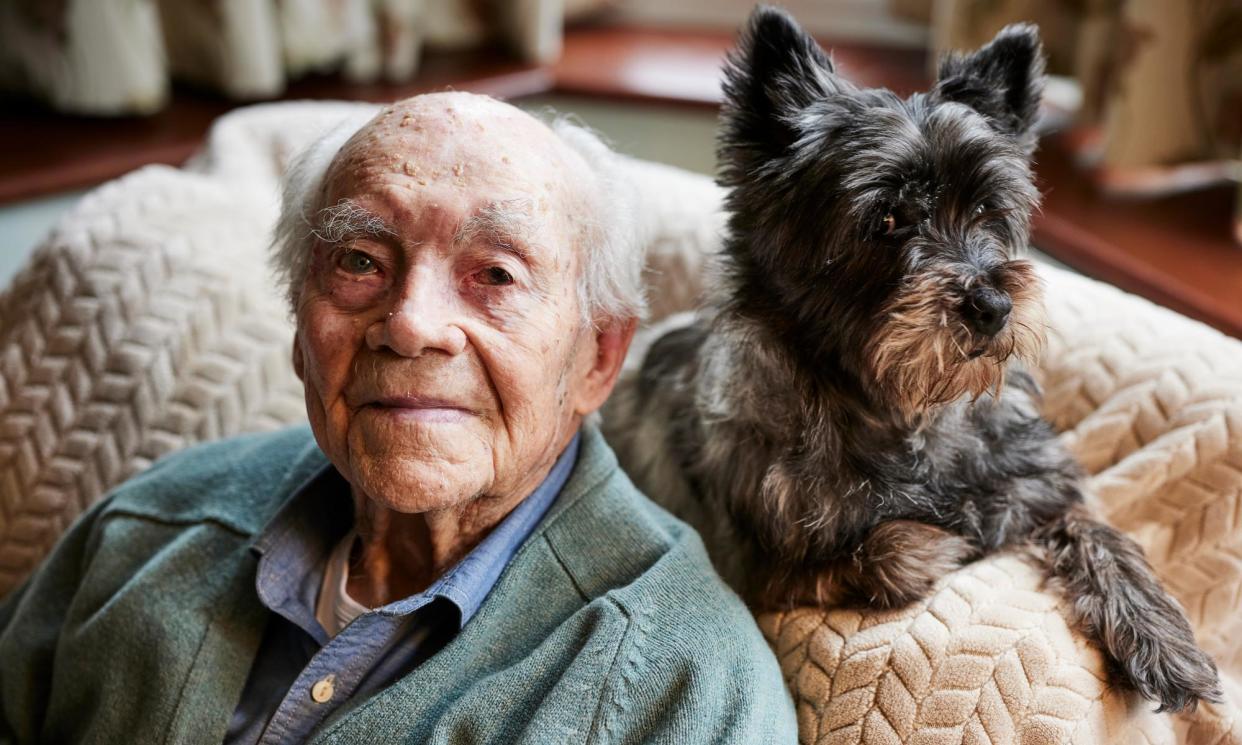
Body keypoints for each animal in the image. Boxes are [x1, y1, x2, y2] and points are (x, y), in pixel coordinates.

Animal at [601, 5, 1222, 715]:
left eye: (986, 208)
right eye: (888, 218)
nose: (992, 305)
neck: (906, 412)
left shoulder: (1039, 489)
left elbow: (1103, 533)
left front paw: (1163, 639)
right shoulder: (759, 567)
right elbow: (888, 553)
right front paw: (936, 545)